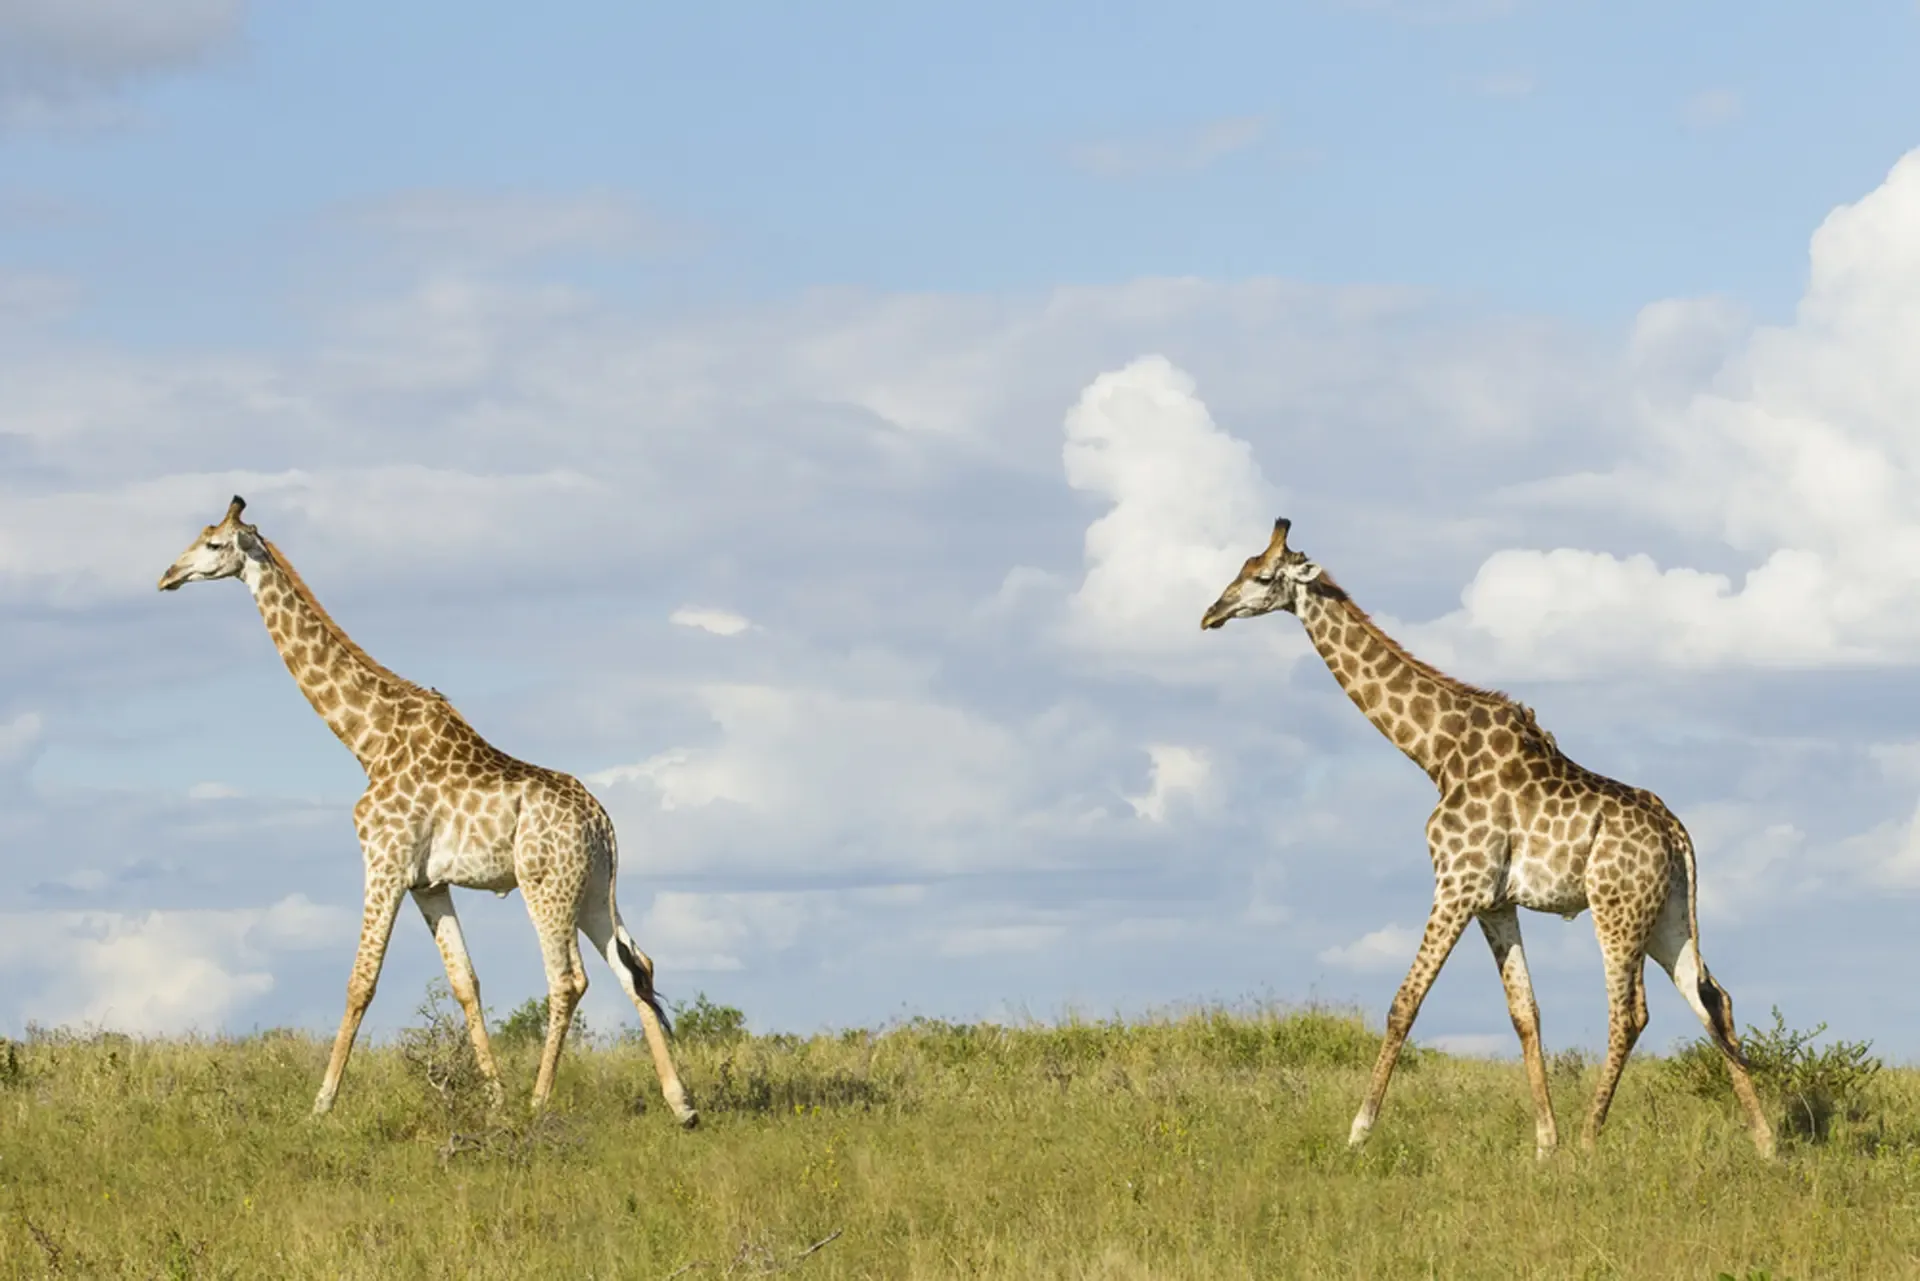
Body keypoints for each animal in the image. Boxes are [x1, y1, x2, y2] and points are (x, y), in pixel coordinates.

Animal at [157, 496, 698, 1126]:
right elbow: (466, 982)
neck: (367, 738)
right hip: (592, 889)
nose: (167, 576)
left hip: (547, 884)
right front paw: (494, 1101)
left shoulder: (385, 861)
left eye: (215, 544)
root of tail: (603, 824)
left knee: (568, 980)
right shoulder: (428, 883)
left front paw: (321, 1105)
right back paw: (682, 1105)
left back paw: (540, 1103)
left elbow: (361, 981)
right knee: (635, 969)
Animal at [1201, 518, 1774, 1159]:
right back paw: (1765, 1141)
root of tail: (1677, 834)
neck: (1436, 752)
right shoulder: (1495, 901)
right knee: (1712, 997)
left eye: (1263, 577)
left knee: (1630, 1013)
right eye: (1244, 567)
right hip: (1668, 913)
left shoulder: (1457, 884)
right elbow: (1526, 1011)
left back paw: (1590, 1139)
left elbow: (1405, 1002)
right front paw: (1544, 1143)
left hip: (1617, 908)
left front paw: (1358, 1132)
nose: (1211, 613)